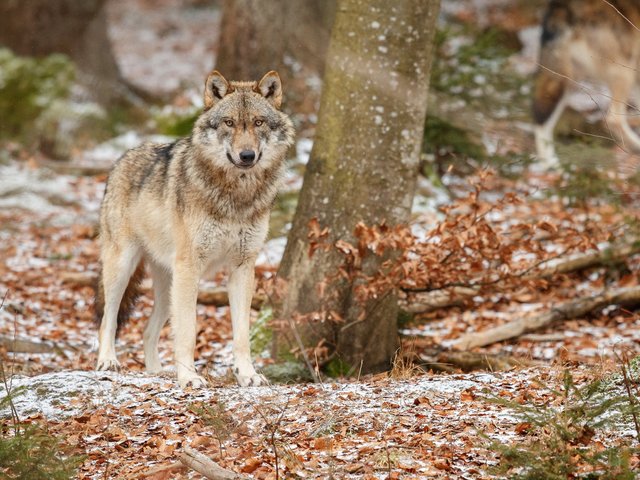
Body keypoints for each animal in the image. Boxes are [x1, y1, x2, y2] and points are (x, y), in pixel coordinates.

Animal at [94, 70, 296, 386]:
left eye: (258, 122)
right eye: (229, 123)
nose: (247, 156)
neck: (236, 196)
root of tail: (121, 159)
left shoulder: (243, 267)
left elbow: (242, 335)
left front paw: (248, 375)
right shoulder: (190, 267)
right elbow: (188, 332)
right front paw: (189, 378)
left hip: (168, 287)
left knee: (147, 330)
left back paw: (157, 372)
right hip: (124, 269)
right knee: (108, 320)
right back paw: (108, 361)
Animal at [528, 0, 640, 166]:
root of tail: (563, 8)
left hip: (566, 80)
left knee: (540, 120)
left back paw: (551, 165)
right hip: (625, 70)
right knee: (613, 119)